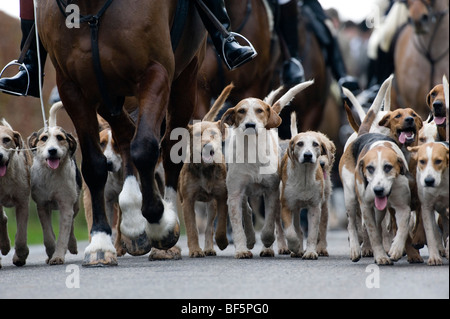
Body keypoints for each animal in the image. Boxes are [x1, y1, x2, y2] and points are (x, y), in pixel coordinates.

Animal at [37, 1, 206, 266]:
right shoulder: (75, 89)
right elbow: (94, 166)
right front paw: (100, 243)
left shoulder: (155, 72)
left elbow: (145, 149)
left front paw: (161, 224)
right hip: (108, 95)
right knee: (126, 135)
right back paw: (133, 220)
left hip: (185, 80)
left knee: (169, 148)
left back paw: (163, 220)